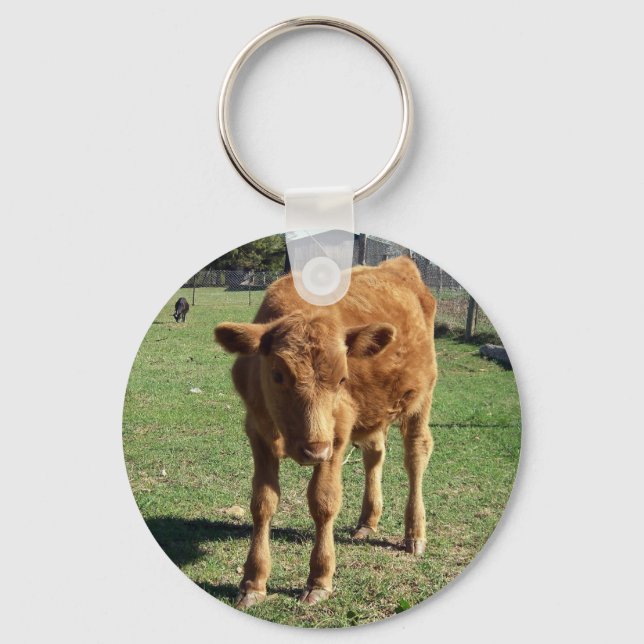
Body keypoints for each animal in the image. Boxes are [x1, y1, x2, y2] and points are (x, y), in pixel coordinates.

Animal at [214, 256, 437, 608]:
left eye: (343, 378)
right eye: (277, 375)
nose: (314, 450)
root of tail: (397, 264)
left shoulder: (337, 433)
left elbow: (323, 501)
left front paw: (319, 579)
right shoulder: (257, 430)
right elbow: (262, 503)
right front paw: (253, 582)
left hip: (421, 397)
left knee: (416, 455)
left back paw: (414, 534)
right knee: (375, 455)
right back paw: (367, 522)